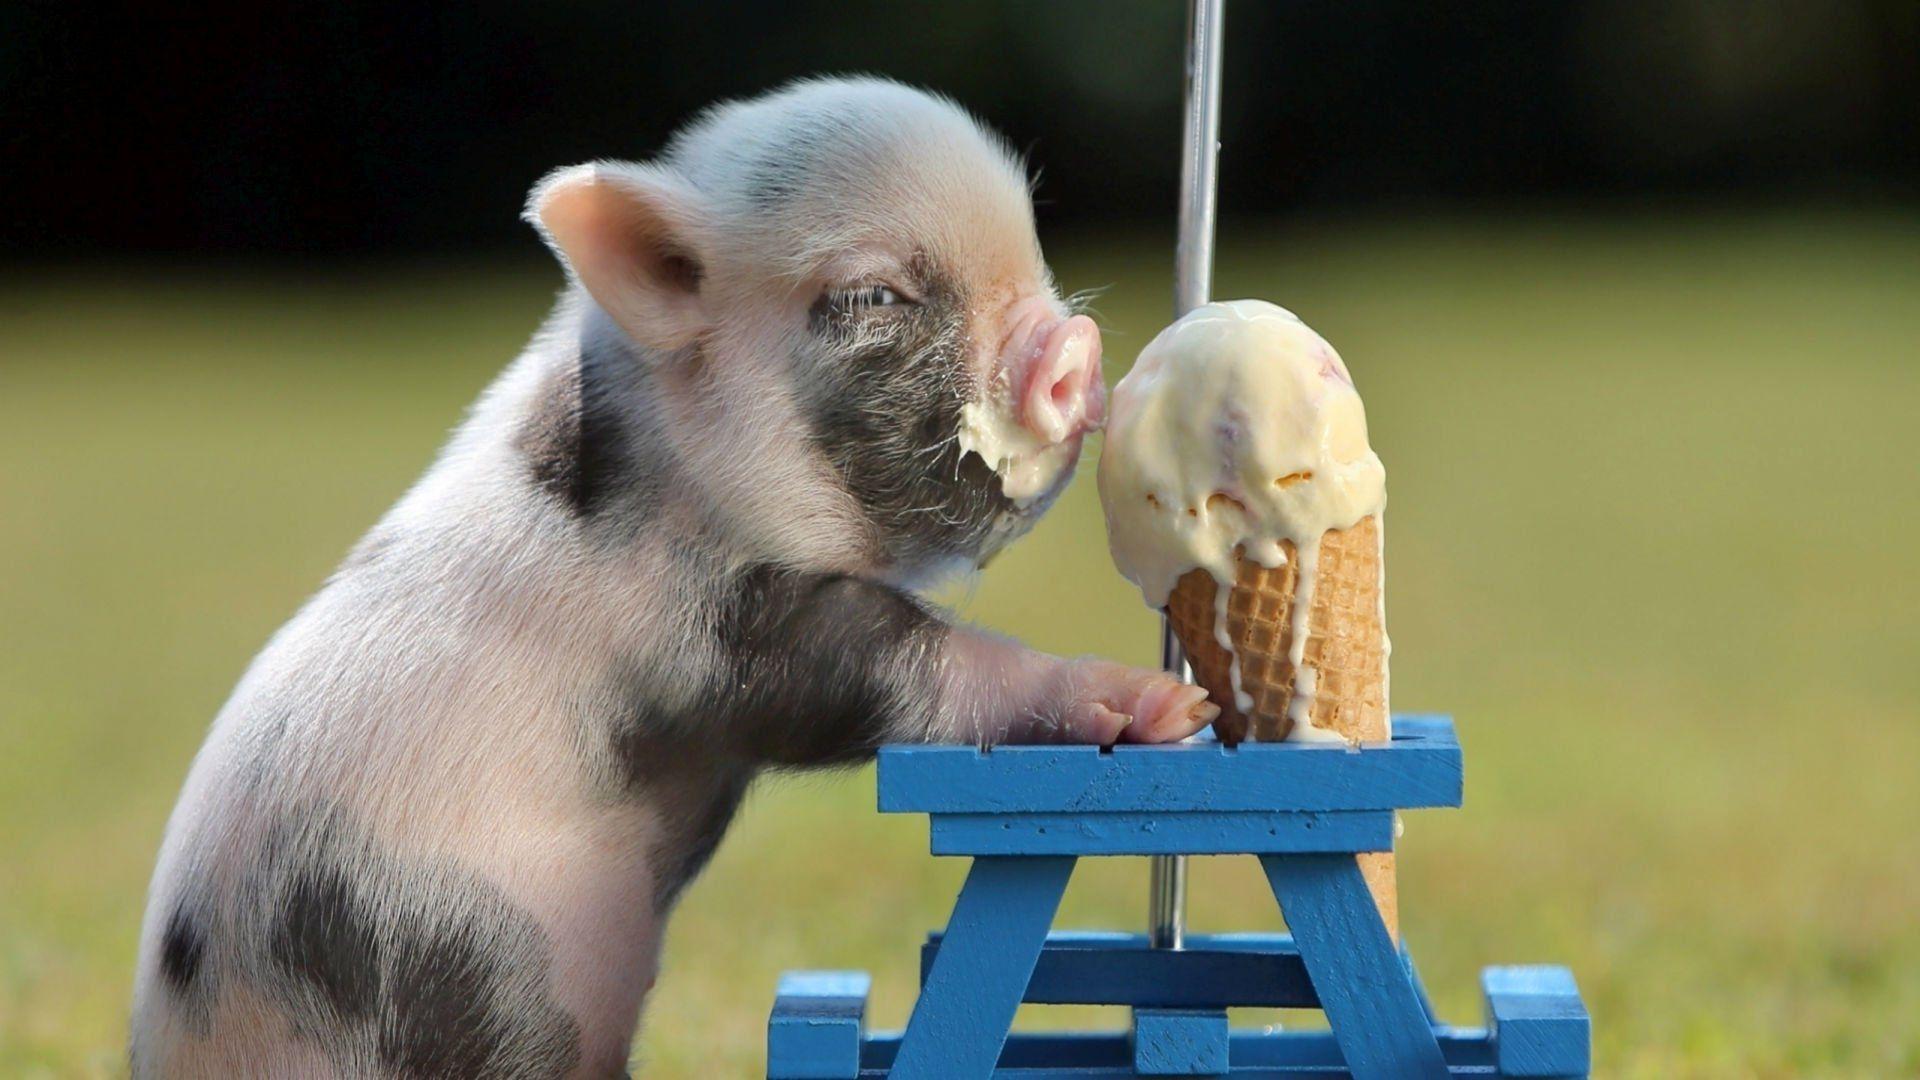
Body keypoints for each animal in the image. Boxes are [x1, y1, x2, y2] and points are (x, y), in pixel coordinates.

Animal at [130, 76, 1218, 1078]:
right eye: (874, 296)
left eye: (1032, 250)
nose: (1075, 349)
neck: (674, 464)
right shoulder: (708, 639)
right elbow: (903, 672)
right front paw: (1158, 706)